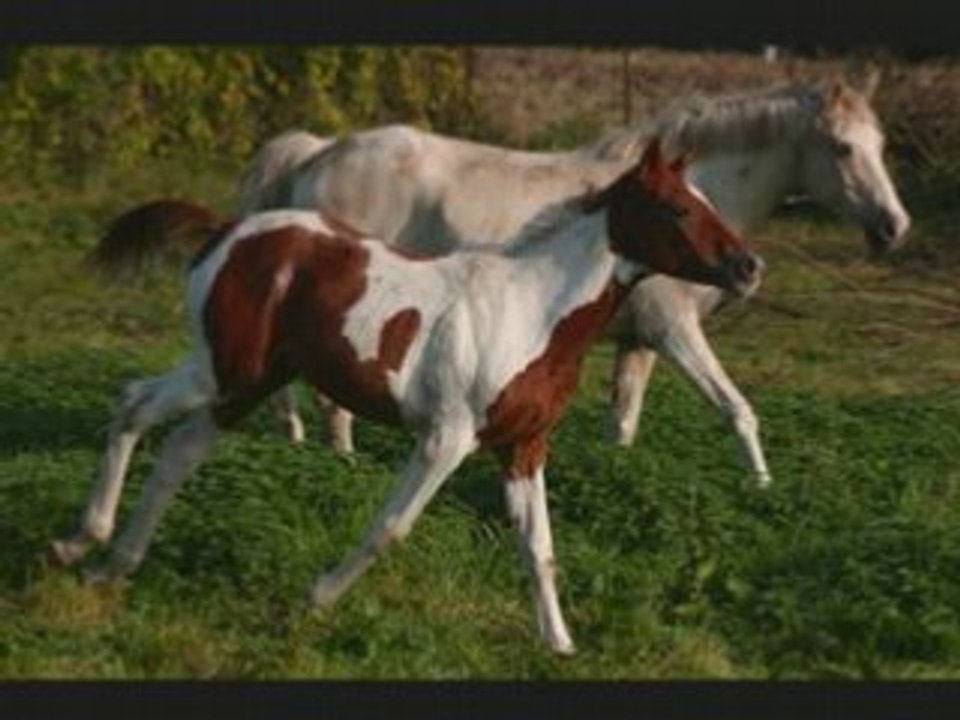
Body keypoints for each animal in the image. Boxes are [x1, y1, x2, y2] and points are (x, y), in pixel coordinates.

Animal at [52, 140, 762, 654]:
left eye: (704, 199)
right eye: (679, 209)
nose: (748, 268)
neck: (532, 311)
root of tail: (229, 231)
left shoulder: (523, 447)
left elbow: (539, 548)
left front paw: (559, 644)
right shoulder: (445, 439)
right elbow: (391, 527)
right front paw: (315, 599)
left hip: (249, 384)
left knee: (177, 451)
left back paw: (111, 563)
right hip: (218, 371)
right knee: (133, 405)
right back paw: (82, 542)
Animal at [92, 75, 910, 486]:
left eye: (880, 144)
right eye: (842, 148)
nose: (894, 227)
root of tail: (320, 151)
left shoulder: (638, 342)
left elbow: (624, 421)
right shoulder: (678, 331)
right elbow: (738, 410)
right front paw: (764, 485)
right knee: (328, 398)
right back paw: (340, 457)